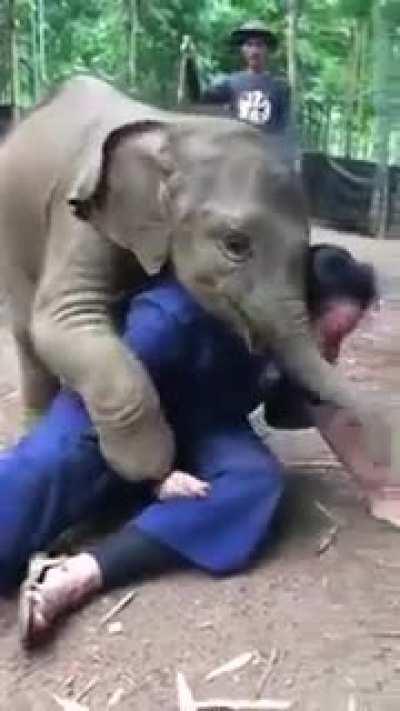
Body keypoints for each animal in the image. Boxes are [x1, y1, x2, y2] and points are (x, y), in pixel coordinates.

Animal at [0, 75, 357, 483]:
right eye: (236, 245)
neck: (176, 128)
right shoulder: (78, 213)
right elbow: (61, 319)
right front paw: (153, 469)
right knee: (27, 332)